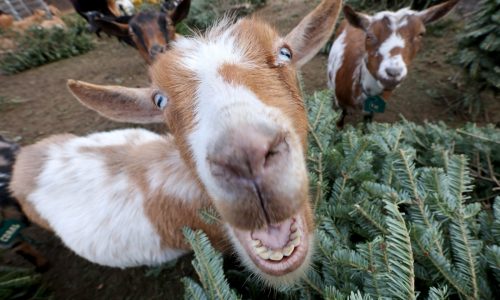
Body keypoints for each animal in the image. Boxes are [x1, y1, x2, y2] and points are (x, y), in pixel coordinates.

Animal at [326, 0, 458, 126]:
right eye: (369, 35)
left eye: (421, 34)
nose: (393, 73)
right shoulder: (342, 102)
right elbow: (339, 121)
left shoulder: (372, 109)